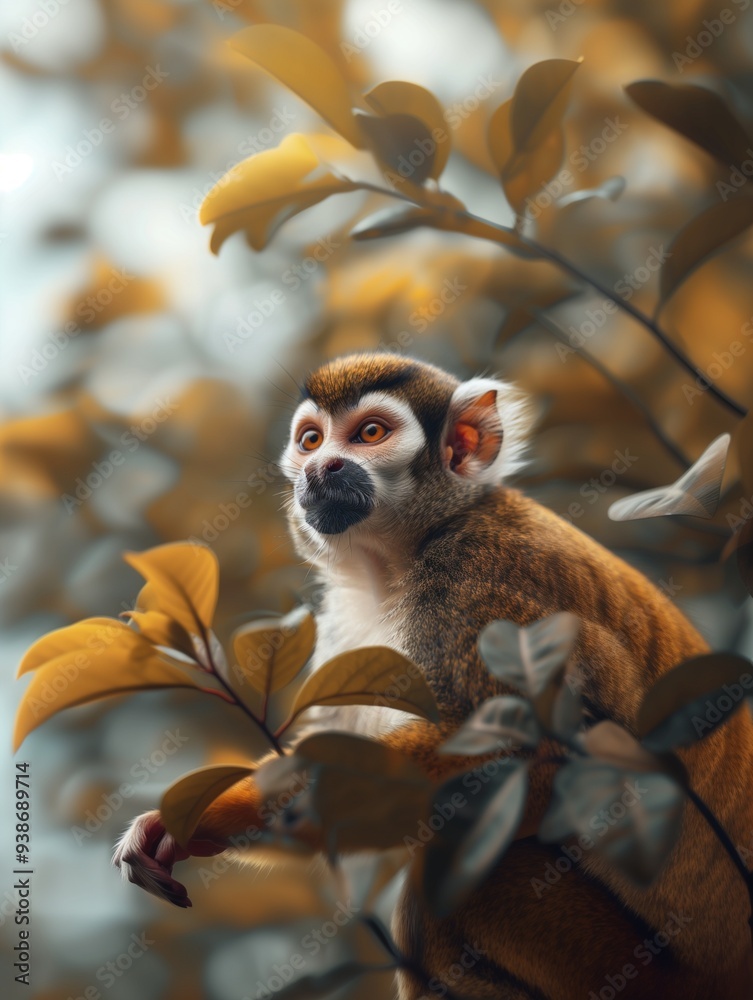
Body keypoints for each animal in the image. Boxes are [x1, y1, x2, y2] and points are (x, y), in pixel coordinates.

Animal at [114, 353, 753, 999]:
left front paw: (219, 812)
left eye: (370, 434)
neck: (403, 556)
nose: (320, 467)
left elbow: (543, 759)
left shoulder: (479, 583)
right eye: (311, 440)